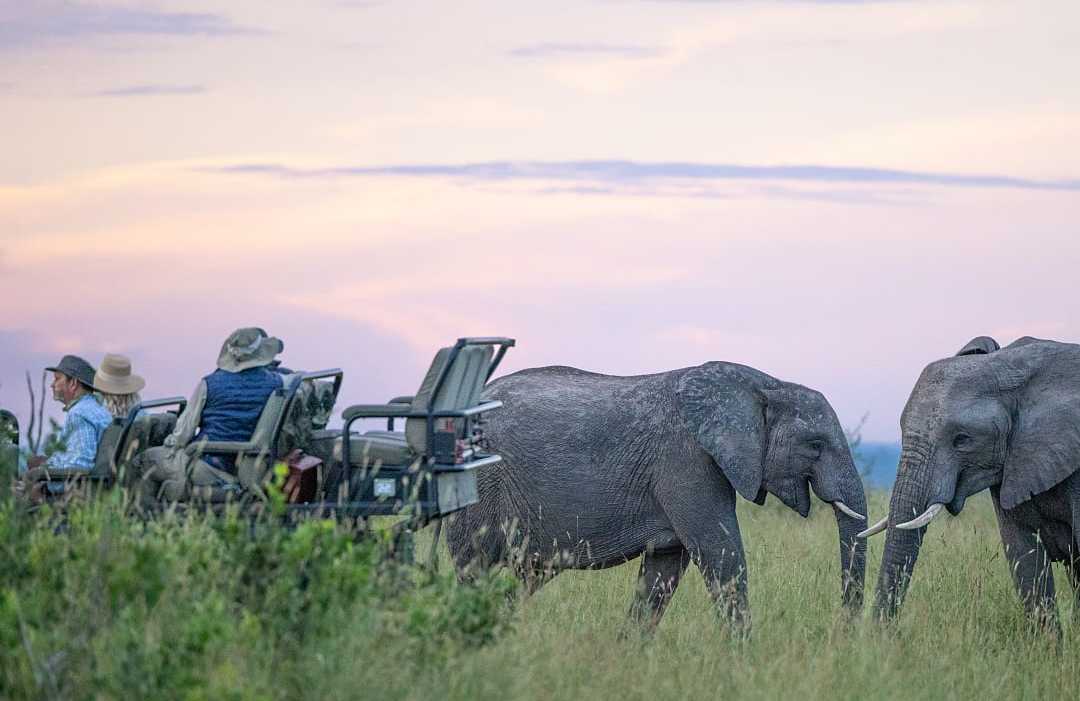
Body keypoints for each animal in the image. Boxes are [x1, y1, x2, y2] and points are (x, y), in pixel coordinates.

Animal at [445, 362, 869, 632]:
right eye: (815, 445)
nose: (843, 636)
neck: (764, 383)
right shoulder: (687, 460)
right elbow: (721, 554)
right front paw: (745, 663)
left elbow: (664, 571)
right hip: (477, 486)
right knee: (475, 567)